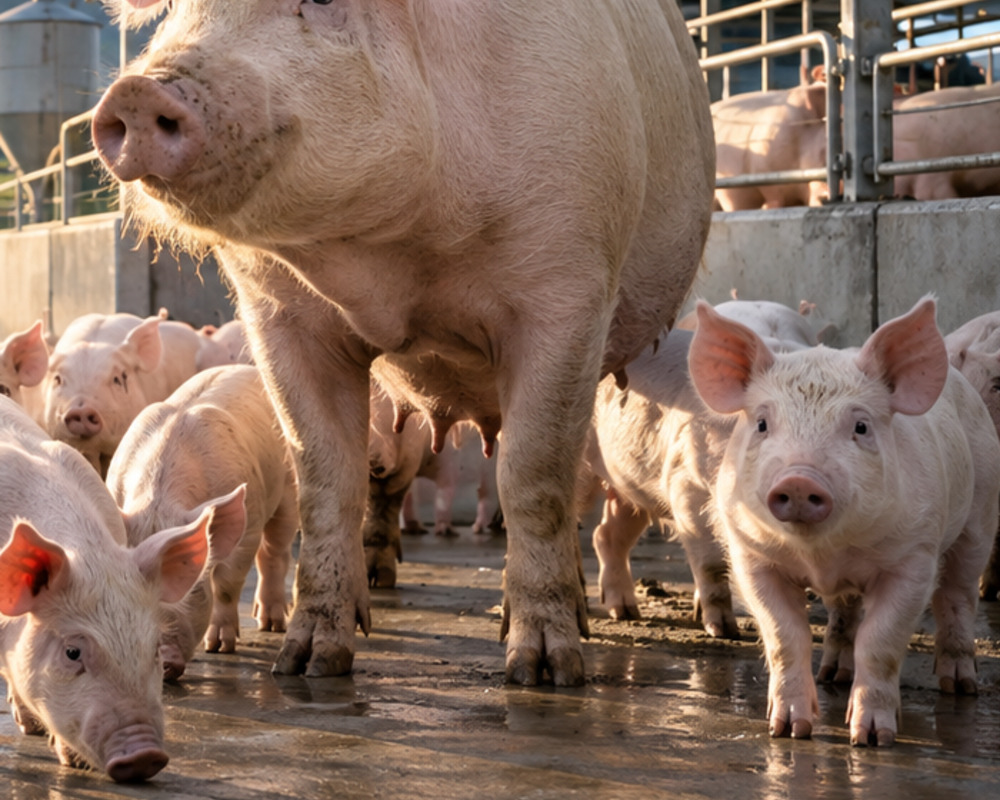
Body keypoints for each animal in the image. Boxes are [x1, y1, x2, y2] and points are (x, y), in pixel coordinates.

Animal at [107, 365, 299, 679]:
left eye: (194, 587)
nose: (164, 660)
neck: (158, 504)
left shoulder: (249, 521)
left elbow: (227, 583)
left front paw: (219, 648)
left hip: (288, 487)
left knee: (275, 551)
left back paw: (271, 624)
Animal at [688, 297, 1000, 746]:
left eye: (861, 426)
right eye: (762, 423)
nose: (799, 480)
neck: (824, 555)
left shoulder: (914, 558)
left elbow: (881, 640)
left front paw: (871, 739)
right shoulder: (752, 556)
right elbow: (785, 636)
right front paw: (788, 732)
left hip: (980, 513)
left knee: (957, 596)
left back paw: (960, 686)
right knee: (844, 614)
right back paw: (832, 676)